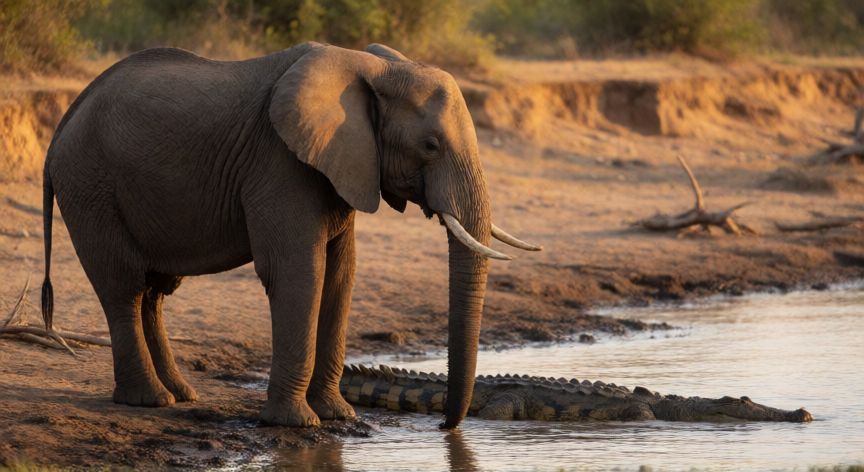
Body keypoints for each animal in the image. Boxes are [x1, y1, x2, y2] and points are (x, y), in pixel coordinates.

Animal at [39, 42, 540, 428]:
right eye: (431, 146)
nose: (443, 427)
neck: (370, 67)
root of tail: (64, 122)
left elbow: (340, 275)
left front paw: (338, 415)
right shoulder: (279, 161)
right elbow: (299, 272)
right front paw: (297, 424)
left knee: (154, 292)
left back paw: (181, 394)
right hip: (90, 184)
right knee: (123, 287)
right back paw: (150, 400)